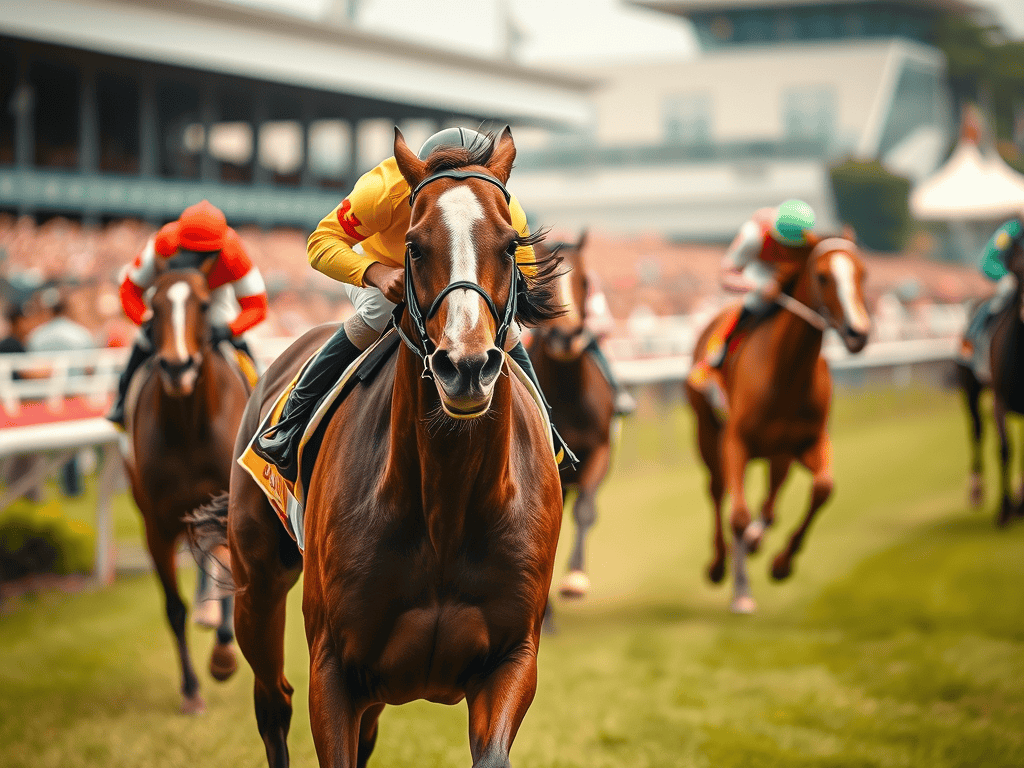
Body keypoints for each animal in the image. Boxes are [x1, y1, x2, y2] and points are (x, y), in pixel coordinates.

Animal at [124, 267, 248, 713]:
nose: (178, 368)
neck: (188, 428)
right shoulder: (156, 526)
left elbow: (232, 580)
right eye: (153, 306)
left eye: (205, 304)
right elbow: (173, 608)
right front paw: (191, 690)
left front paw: (224, 659)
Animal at [189, 127, 565, 768]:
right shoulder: (334, 669)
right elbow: (327, 235)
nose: (466, 367)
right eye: (413, 246)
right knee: (273, 701)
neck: (446, 502)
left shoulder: (512, 659)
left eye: (511, 244)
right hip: (257, 580)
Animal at [685, 237, 870, 613]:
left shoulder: (810, 441)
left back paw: (757, 540)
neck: (787, 373)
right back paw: (719, 563)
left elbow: (823, 489)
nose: (858, 333)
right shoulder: (735, 442)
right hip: (708, 436)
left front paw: (782, 564)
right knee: (718, 493)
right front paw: (742, 590)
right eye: (823, 276)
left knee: (771, 500)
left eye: (863, 273)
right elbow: (737, 516)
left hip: (779, 453)